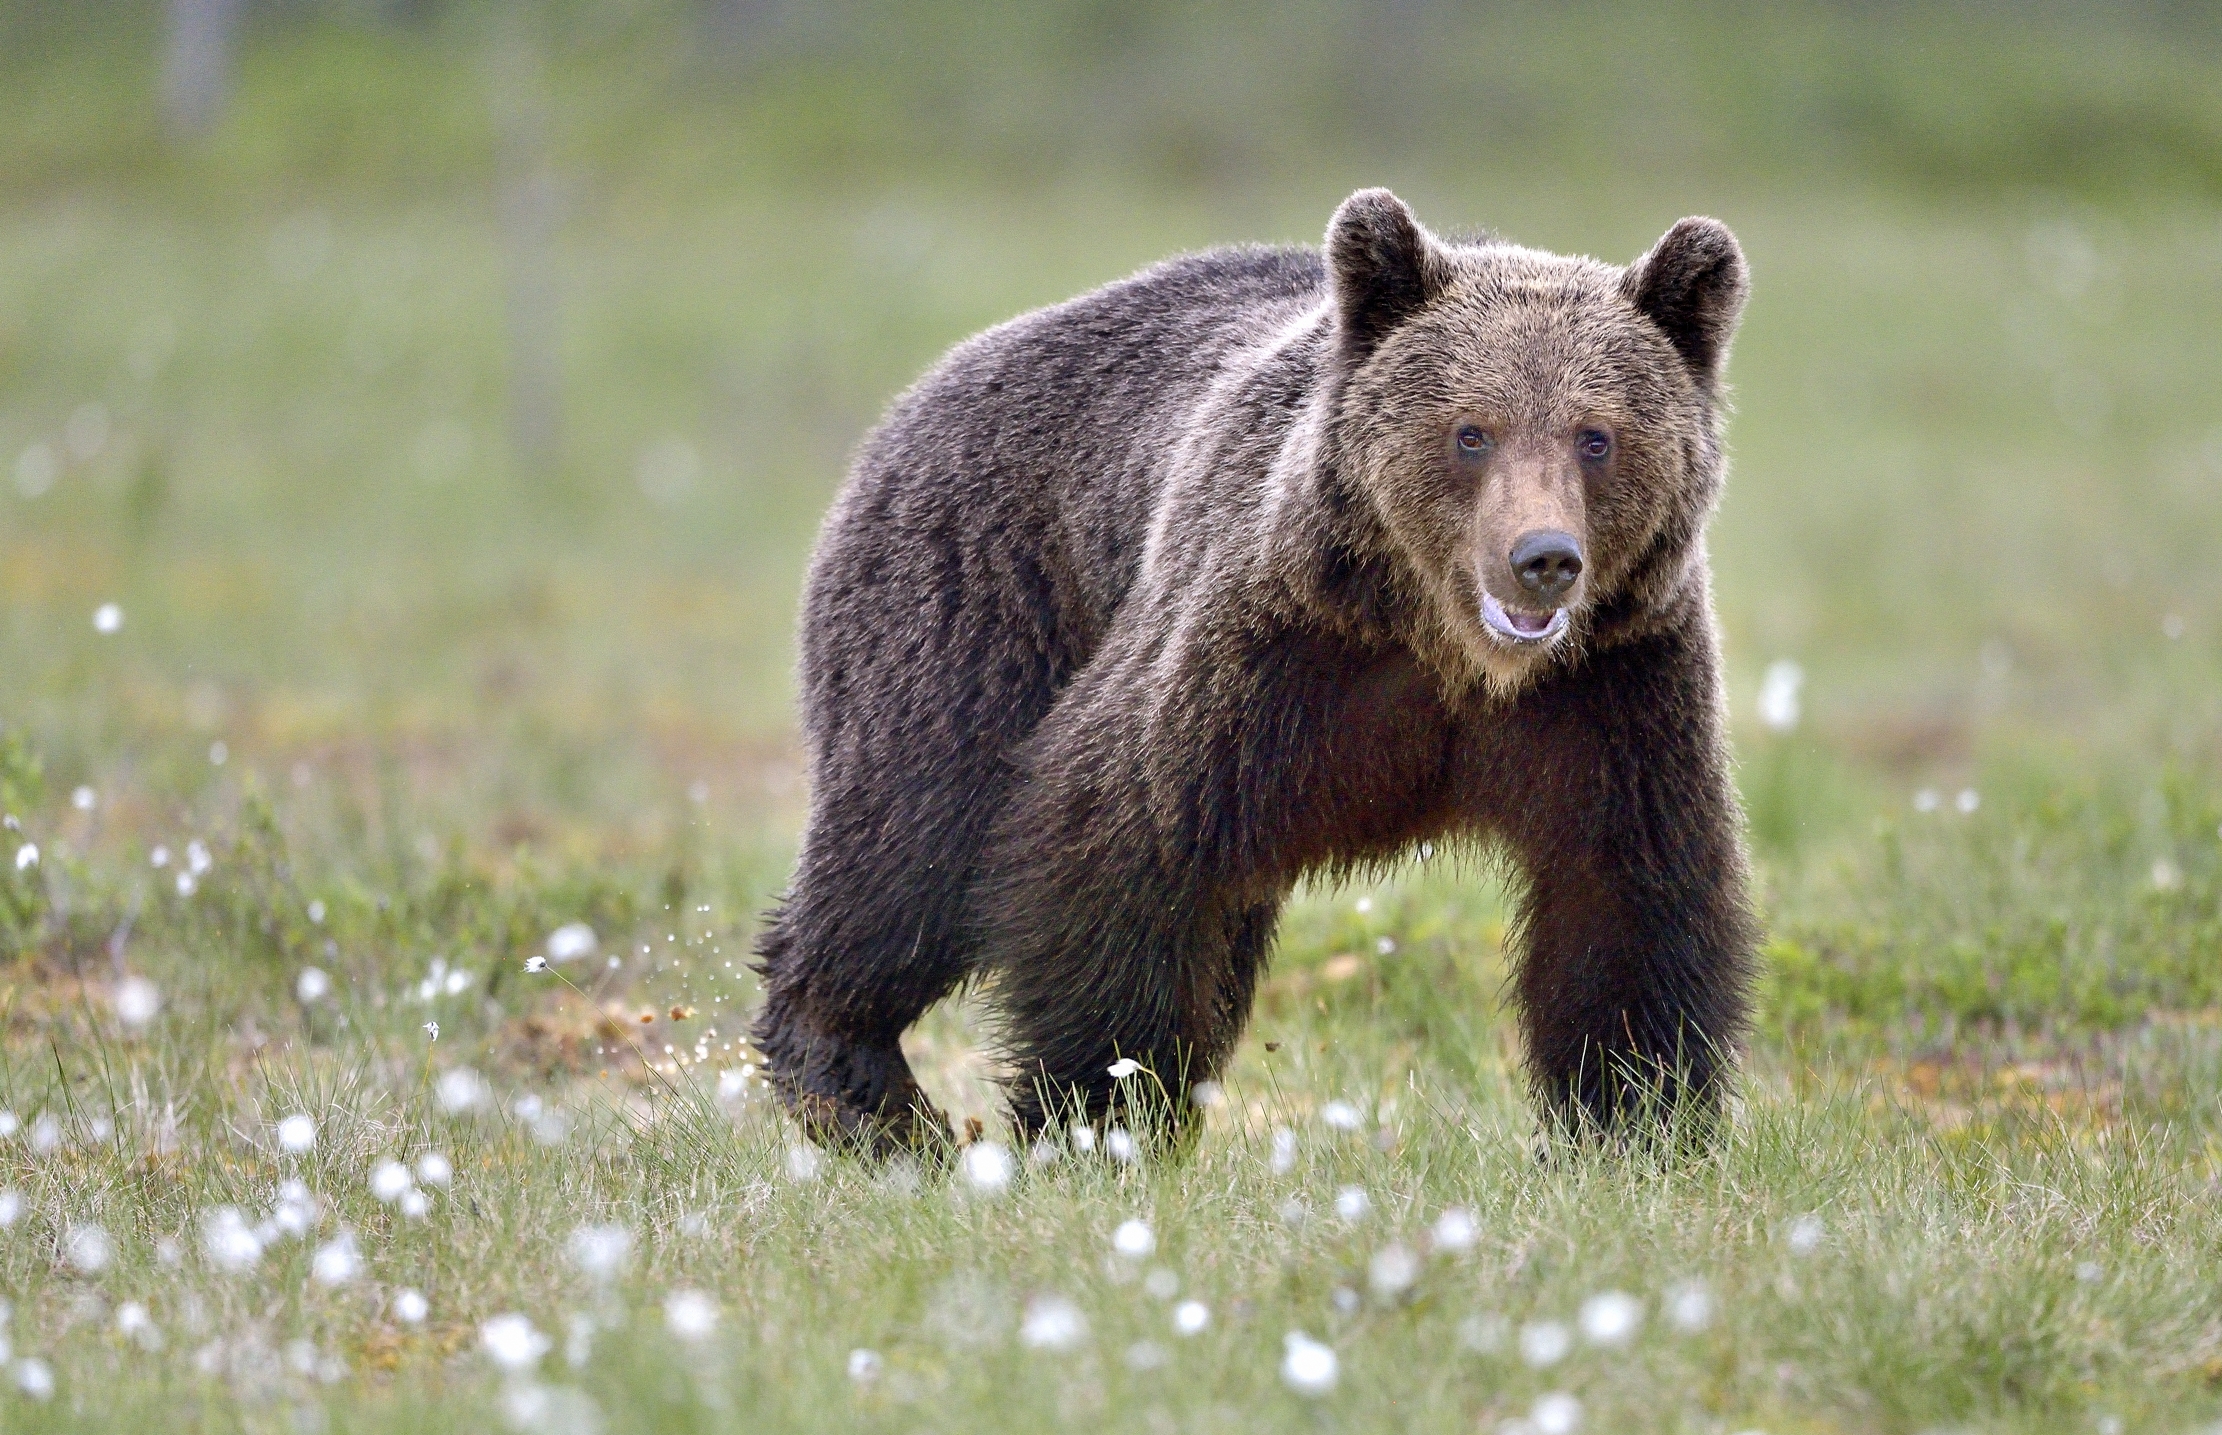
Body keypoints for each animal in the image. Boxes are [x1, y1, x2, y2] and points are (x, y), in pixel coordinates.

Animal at [752, 188, 1757, 1156]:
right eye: (1472, 431)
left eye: (1597, 435)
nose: (1542, 558)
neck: (1443, 648)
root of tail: (917, 394)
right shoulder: (1262, 649)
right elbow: (1119, 836)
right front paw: (1100, 1110)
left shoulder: (1613, 688)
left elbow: (1625, 896)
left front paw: (1636, 1119)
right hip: (974, 599)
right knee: (910, 841)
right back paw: (863, 1088)